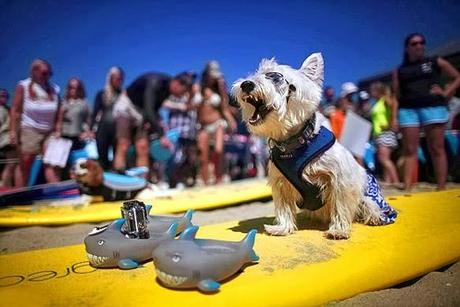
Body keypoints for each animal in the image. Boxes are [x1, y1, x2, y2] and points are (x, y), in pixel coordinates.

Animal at [232, 54, 398, 239]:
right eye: (257, 74)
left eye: (275, 77)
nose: (246, 84)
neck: (294, 143)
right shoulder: (280, 182)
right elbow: (283, 207)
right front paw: (282, 228)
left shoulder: (339, 179)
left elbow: (340, 205)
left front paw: (339, 230)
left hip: (368, 193)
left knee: (371, 206)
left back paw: (376, 217)